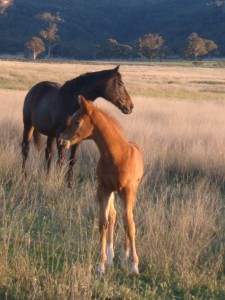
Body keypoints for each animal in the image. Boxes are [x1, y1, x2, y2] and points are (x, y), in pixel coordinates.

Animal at [59, 96, 143, 274]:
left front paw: (134, 265)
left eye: (77, 121)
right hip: (112, 192)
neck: (117, 156)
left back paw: (124, 258)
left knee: (128, 218)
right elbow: (103, 222)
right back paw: (111, 257)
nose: (61, 141)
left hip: (131, 193)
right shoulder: (103, 189)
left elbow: (129, 225)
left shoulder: (127, 191)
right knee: (113, 215)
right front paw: (101, 265)